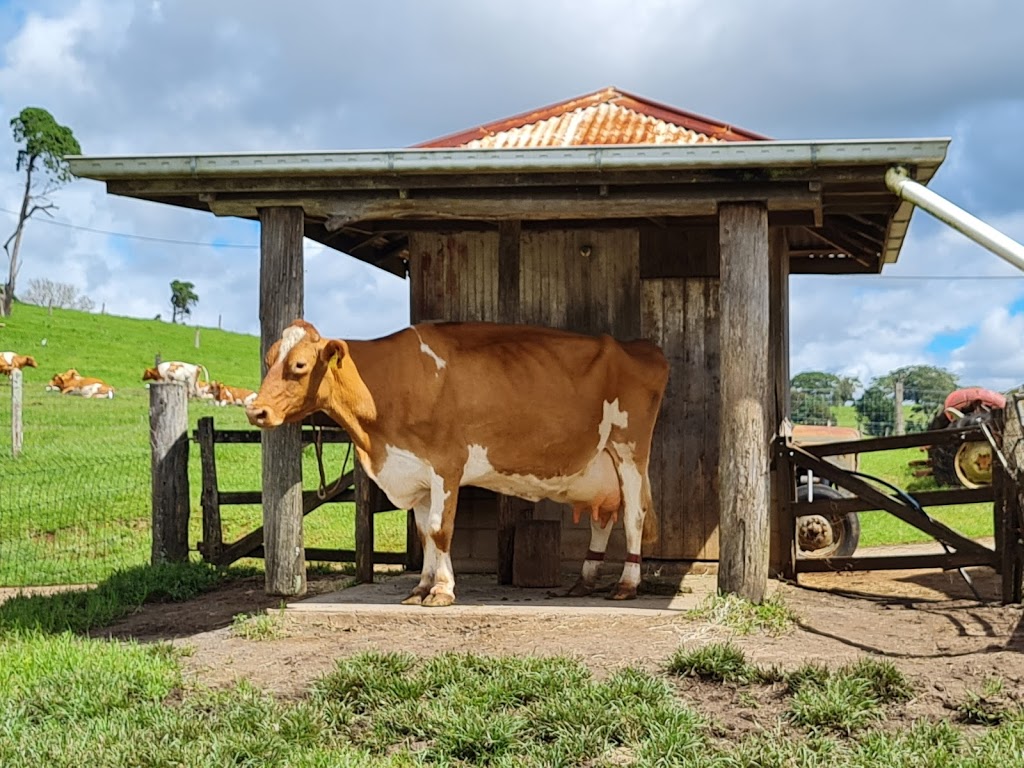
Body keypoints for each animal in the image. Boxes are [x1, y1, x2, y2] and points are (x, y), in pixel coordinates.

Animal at [243, 319, 667, 606]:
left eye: (299, 366)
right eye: (268, 358)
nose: (256, 411)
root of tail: (644, 348)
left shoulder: (446, 464)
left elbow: (440, 529)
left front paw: (443, 590)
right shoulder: (414, 475)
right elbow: (423, 533)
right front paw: (421, 586)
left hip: (630, 450)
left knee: (634, 517)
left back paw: (626, 584)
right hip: (601, 465)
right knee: (603, 518)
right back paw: (585, 581)